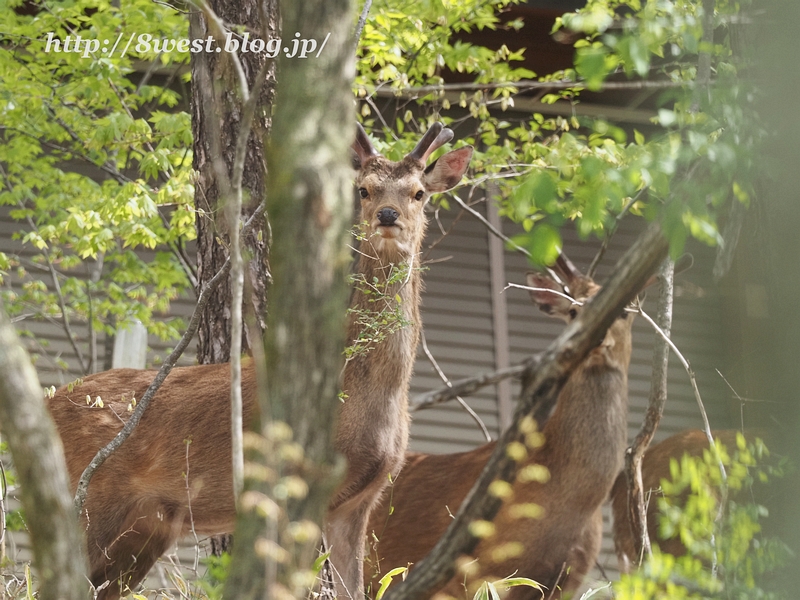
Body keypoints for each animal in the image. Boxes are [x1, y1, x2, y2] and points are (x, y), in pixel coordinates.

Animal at [47, 123, 472, 600]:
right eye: (363, 189)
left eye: (418, 193)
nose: (386, 215)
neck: (368, 390)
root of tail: (48, 401)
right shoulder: (302, 486)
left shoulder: (359, 502)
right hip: (89, 498)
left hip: (144, 529)